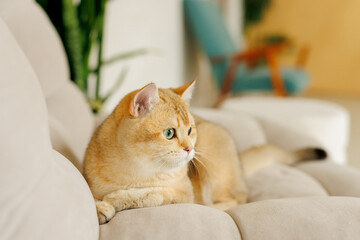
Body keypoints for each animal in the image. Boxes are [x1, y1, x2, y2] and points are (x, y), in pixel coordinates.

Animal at [83, 81, 326, 224]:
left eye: (190, 130)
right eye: (169, 133)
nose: (190, 148)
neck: (138, 170)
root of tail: (238, 164)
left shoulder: (182, 193)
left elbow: (151, 194)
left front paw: (115, 199)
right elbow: (97, 195)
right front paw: (99, 207)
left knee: (237, 199)